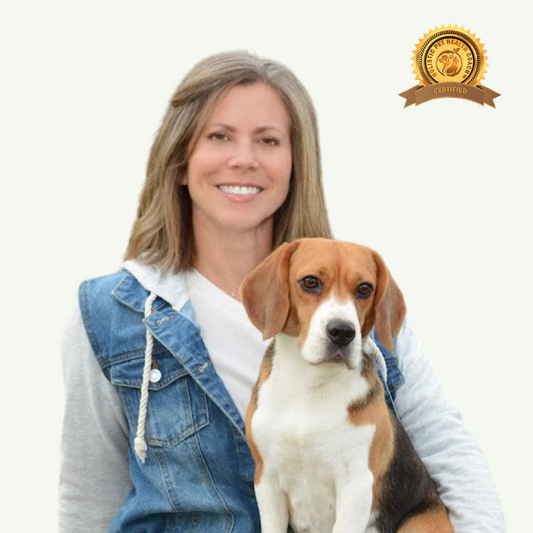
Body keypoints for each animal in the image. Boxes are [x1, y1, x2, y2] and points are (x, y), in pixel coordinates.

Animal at [239, 239, 450, 528]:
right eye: (310, 282)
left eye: (364, 289)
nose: (342, 332)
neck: (310, 385)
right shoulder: (266, 481)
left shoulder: (356, 486)